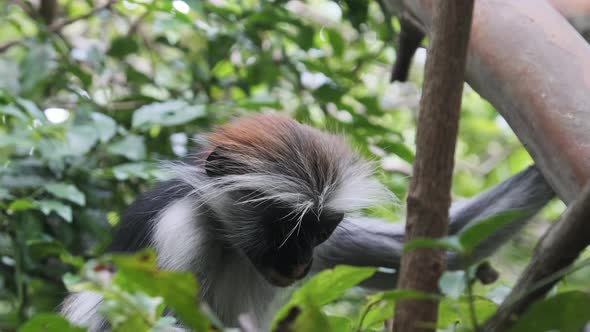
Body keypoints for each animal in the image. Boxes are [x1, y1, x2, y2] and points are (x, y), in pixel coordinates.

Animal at [60, 113, 556, 330]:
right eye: (283, 225)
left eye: (319, 228)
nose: (300, 263)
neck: (227, 241)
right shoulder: (177, 230)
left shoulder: (328, 246)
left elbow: (445, 247)